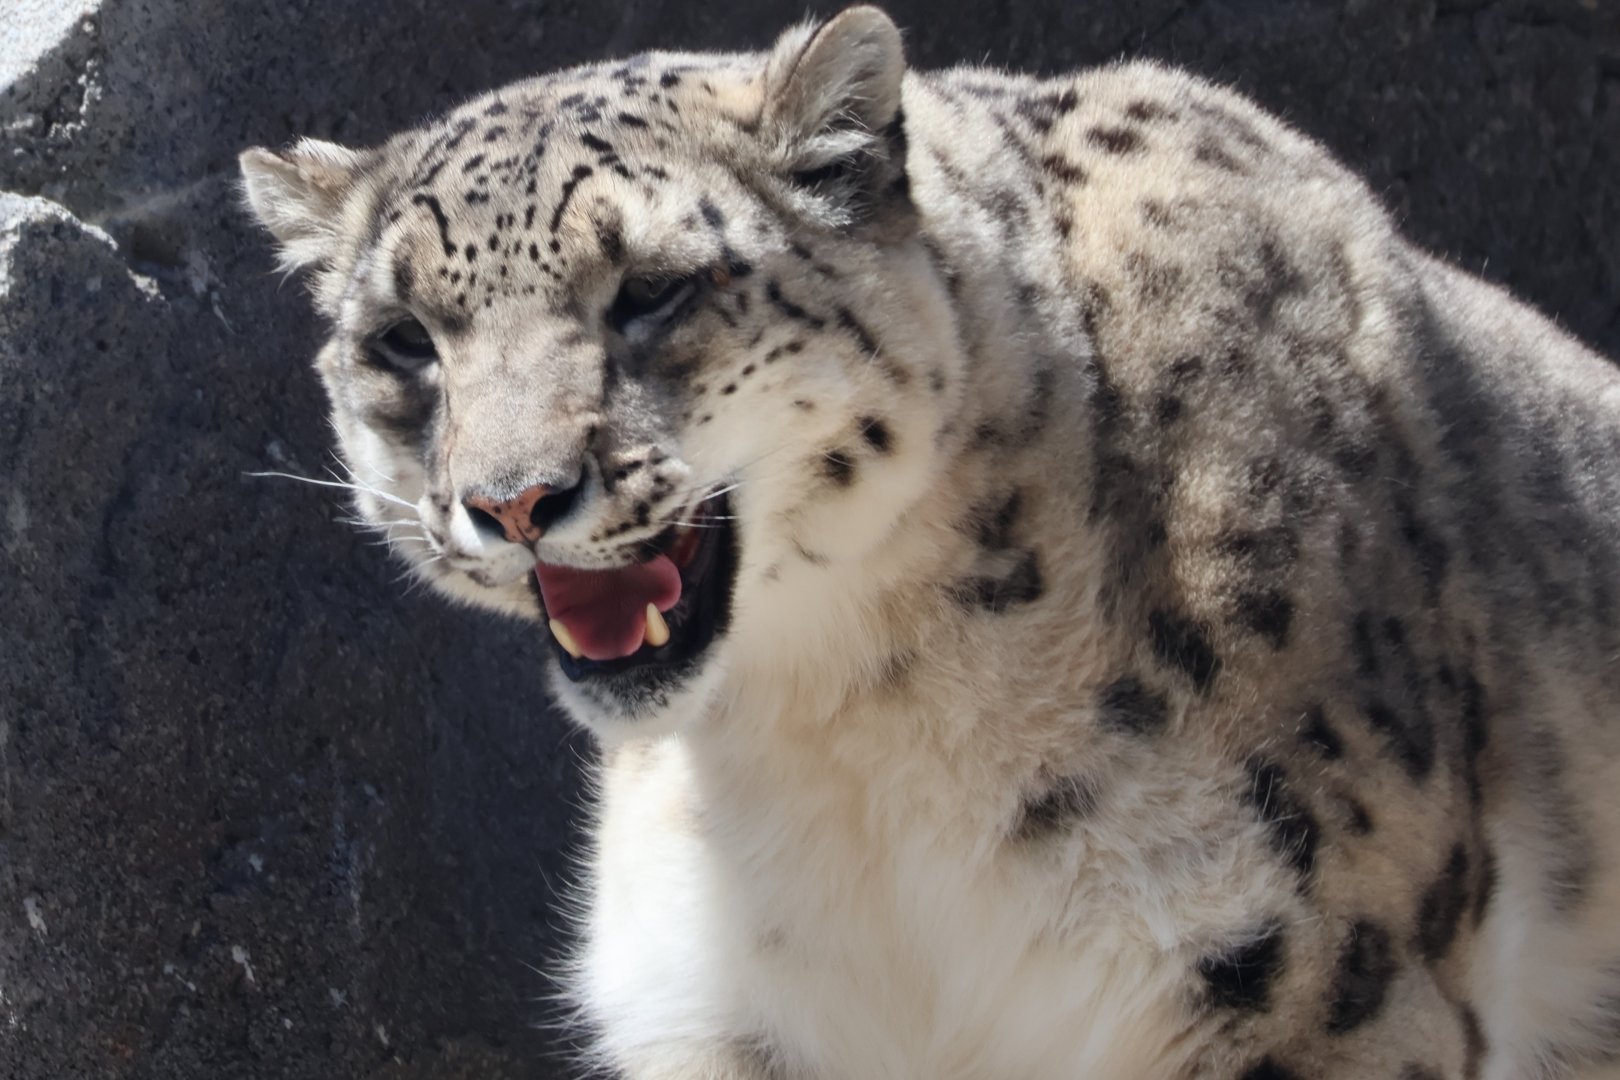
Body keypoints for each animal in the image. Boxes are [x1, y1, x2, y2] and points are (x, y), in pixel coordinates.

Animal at [238, 7, 1620, 1078]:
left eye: (653, 290)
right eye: (404, 340)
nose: (514, 500)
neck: (844, 720)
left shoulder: (1313, 977)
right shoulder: (724, 1007)